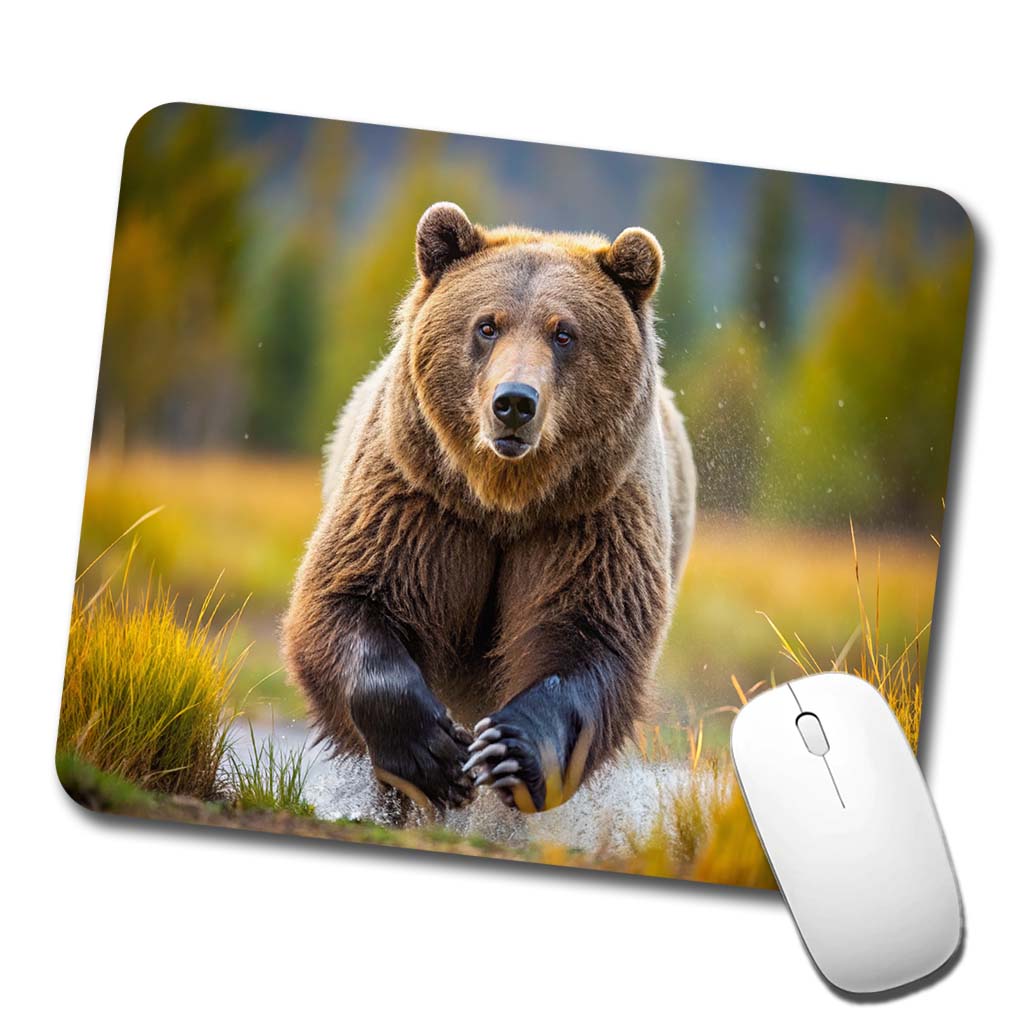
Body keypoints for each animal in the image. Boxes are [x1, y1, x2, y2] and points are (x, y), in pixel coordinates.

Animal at [282, 202, 696, 814]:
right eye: (487, 325)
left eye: (564, 333)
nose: (515, 403)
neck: (503, 499)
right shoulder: (418, 500)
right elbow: (350, 596)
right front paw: (432, 753)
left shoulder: (590, 520)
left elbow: (590, 635)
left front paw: (509, 749)